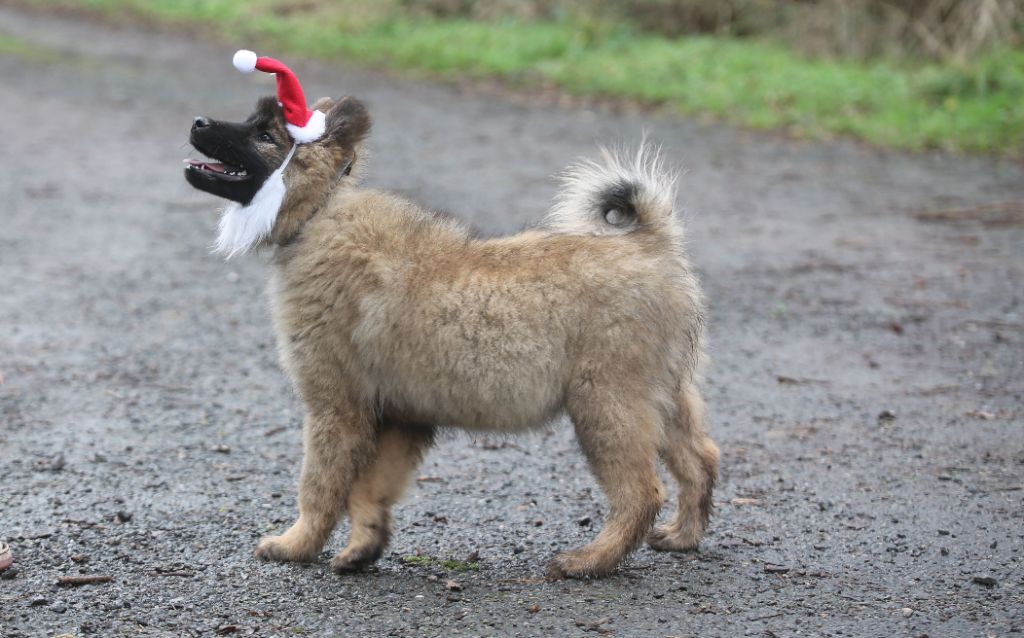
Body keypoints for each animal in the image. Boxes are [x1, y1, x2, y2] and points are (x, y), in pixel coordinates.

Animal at [184, 94, 720, 577]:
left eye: (265, 134)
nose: (197, 121)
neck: (320, 212)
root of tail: (652, 244)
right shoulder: (400, 415)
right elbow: (370, 490)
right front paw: (362, 549)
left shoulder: (335, 408)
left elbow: (318, 486)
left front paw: (295, 545)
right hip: (666, 394)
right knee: (700, 460)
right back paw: (682, 535)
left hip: (607, 403)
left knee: (640, 492)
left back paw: (590, 561)